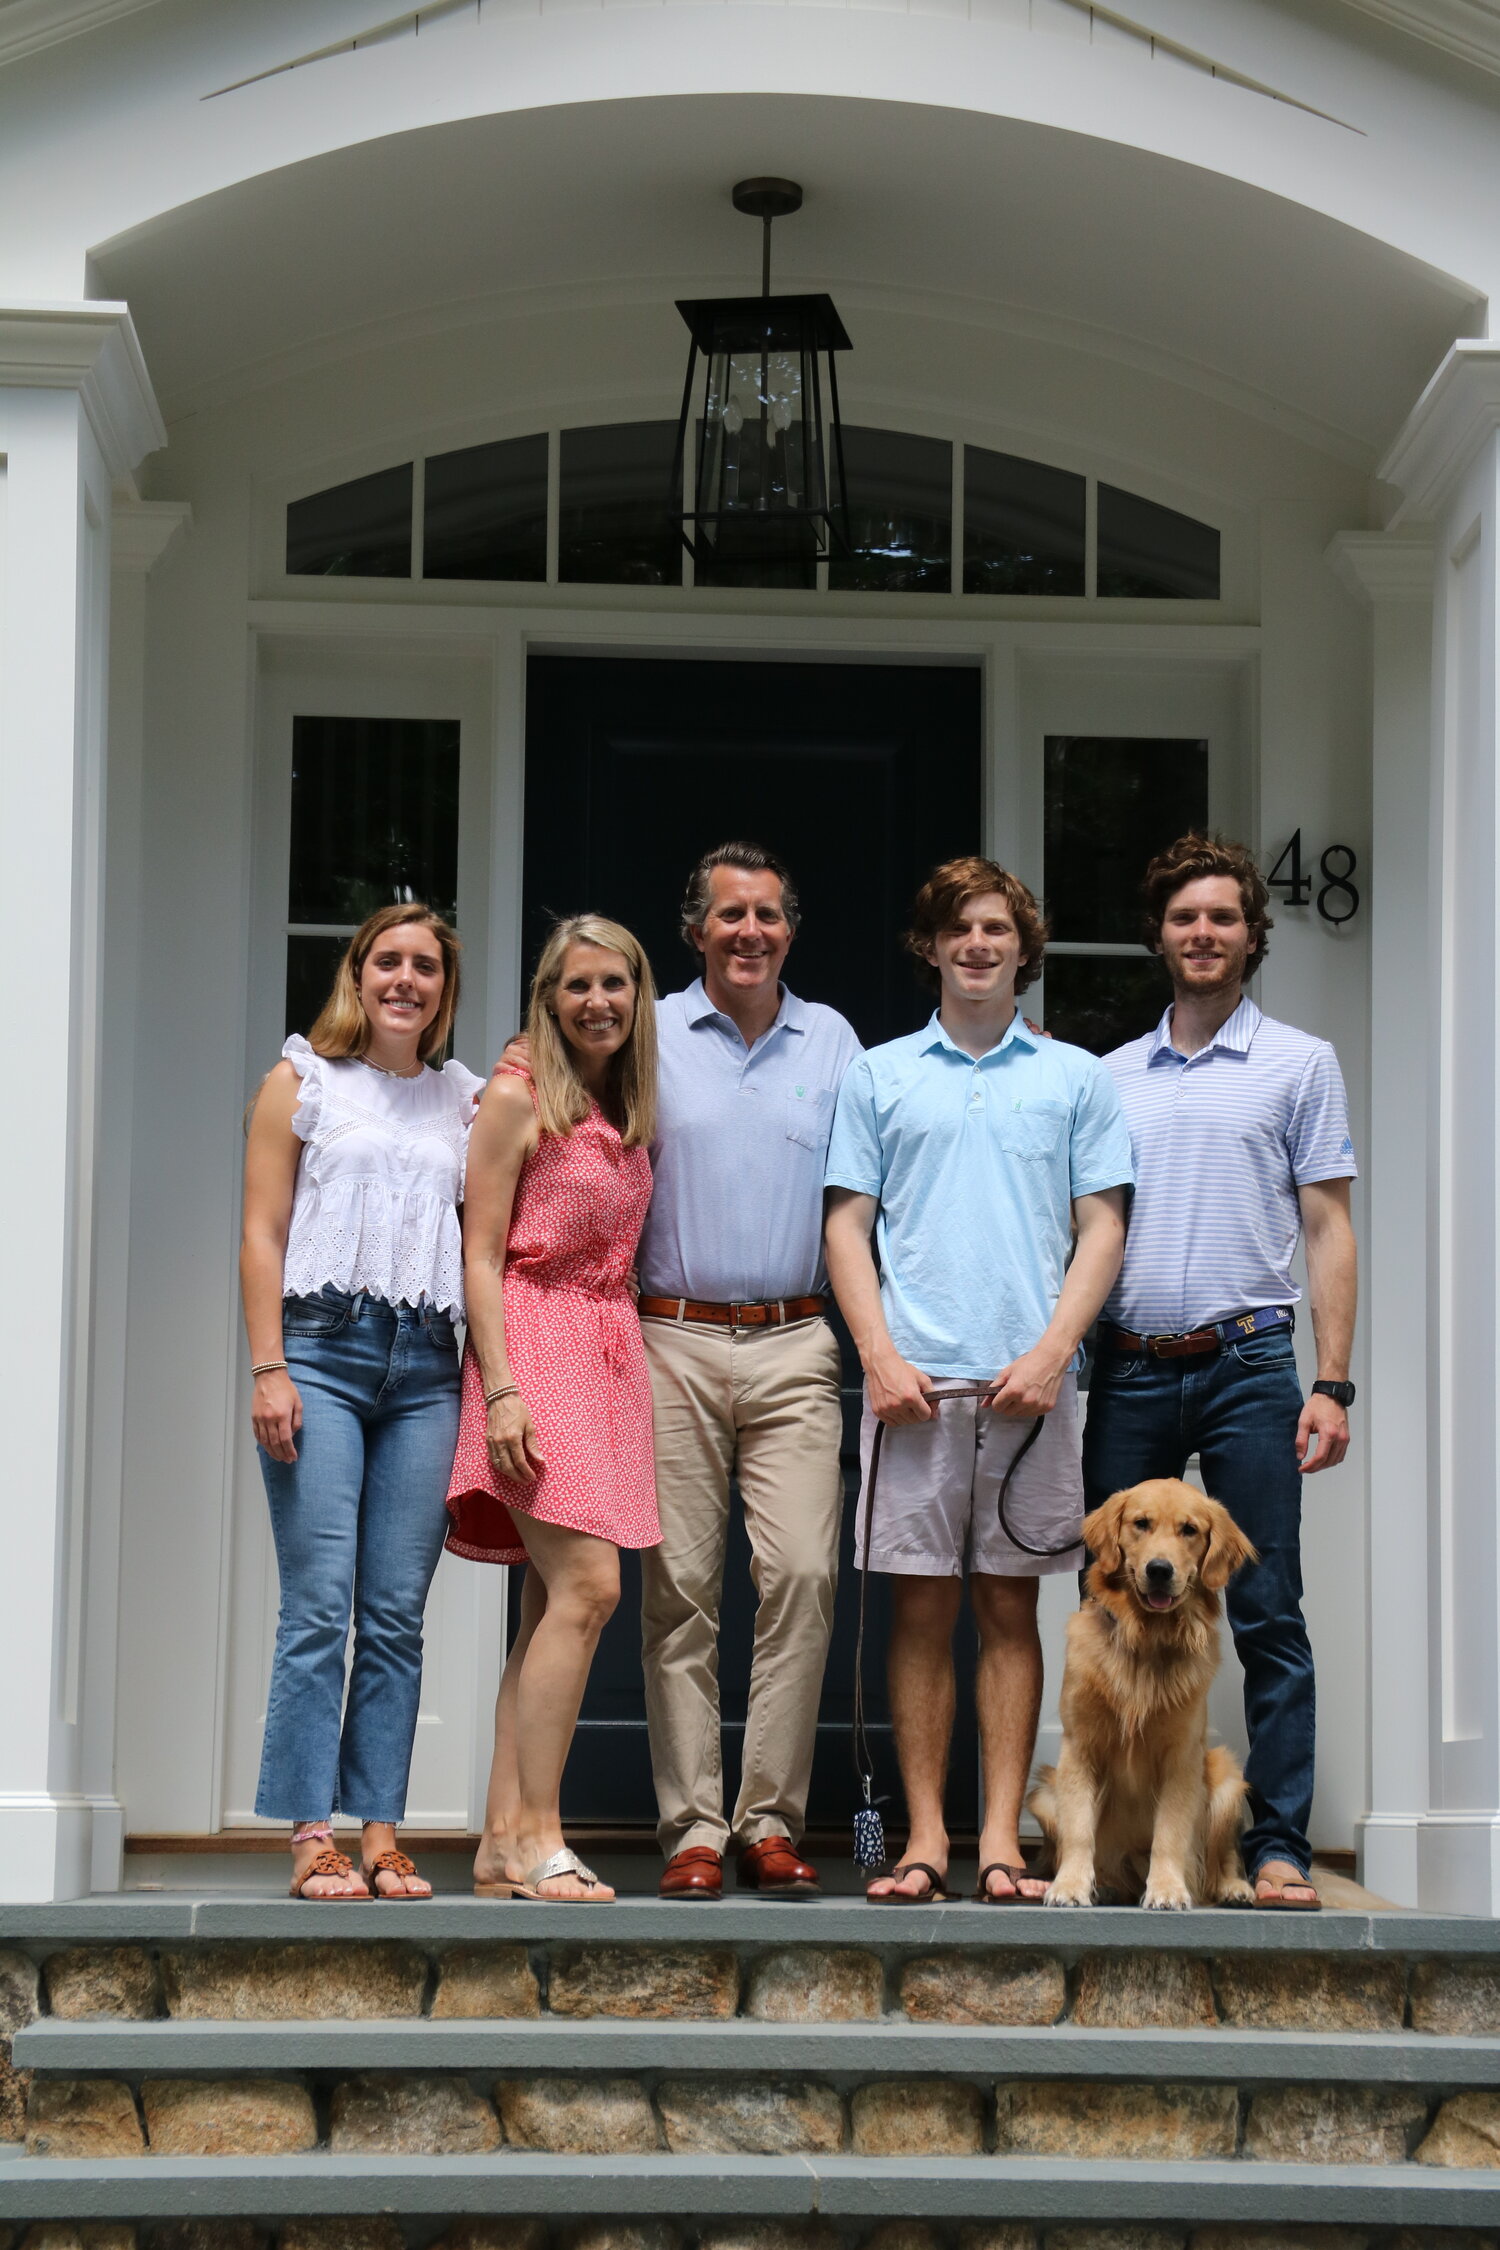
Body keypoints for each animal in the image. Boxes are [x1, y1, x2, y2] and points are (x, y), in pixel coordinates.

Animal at [1034, 1485, 1259, 1908]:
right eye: (1141, 1523)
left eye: (1189, 1529)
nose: (1159, 1569)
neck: (1146, 1640)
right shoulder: (1079, 1749)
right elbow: (1079, 1830)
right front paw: (1069, 1885)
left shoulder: (1182, 1758)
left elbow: (1169, 1833)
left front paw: (1168, 1889)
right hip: (1044, 1793)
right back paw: (1105, 1884)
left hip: (1226, 1781)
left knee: (1219, 1857)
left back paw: (1233, 1888)